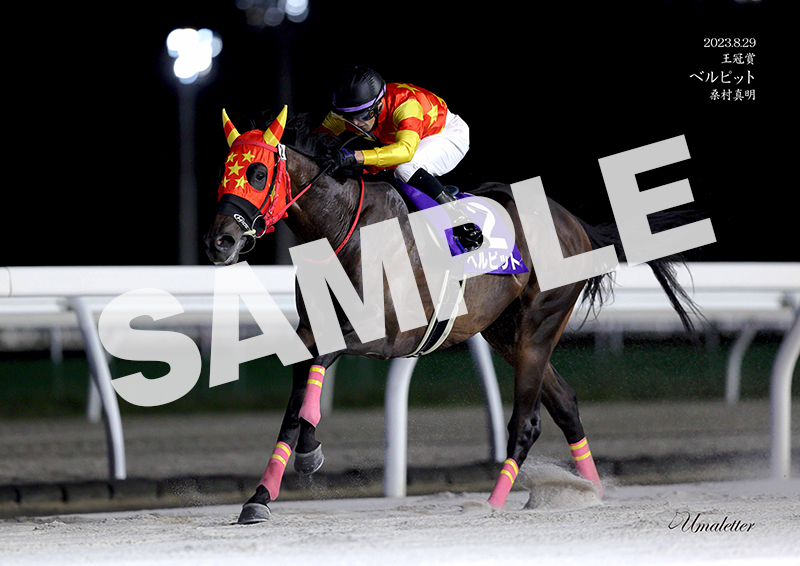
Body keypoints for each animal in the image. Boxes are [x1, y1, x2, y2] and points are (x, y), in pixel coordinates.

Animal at [204, 107, 700, 523]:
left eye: (258, 172)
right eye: (223, 174)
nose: (219, 242)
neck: (345, 225)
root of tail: (578, 226)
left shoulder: (386, 337)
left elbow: (315, 379)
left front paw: (308, 455)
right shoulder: (312, 330)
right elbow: (296, 407)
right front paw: (261, 496)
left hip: (538, 325)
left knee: (528, 422)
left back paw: (495, 502)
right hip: (504, 331)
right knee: (565, 404)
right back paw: (590, 493)